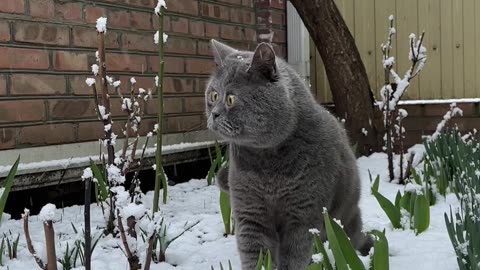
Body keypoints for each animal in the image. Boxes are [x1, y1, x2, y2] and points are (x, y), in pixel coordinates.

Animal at [204, 40, 374, 270]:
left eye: (230, 99)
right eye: (213, 96)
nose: (214, 114)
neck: (265, 162)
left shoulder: (303, 213)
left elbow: (295, 254)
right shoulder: (250, 211)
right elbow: (254, 252)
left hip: (344, 217)